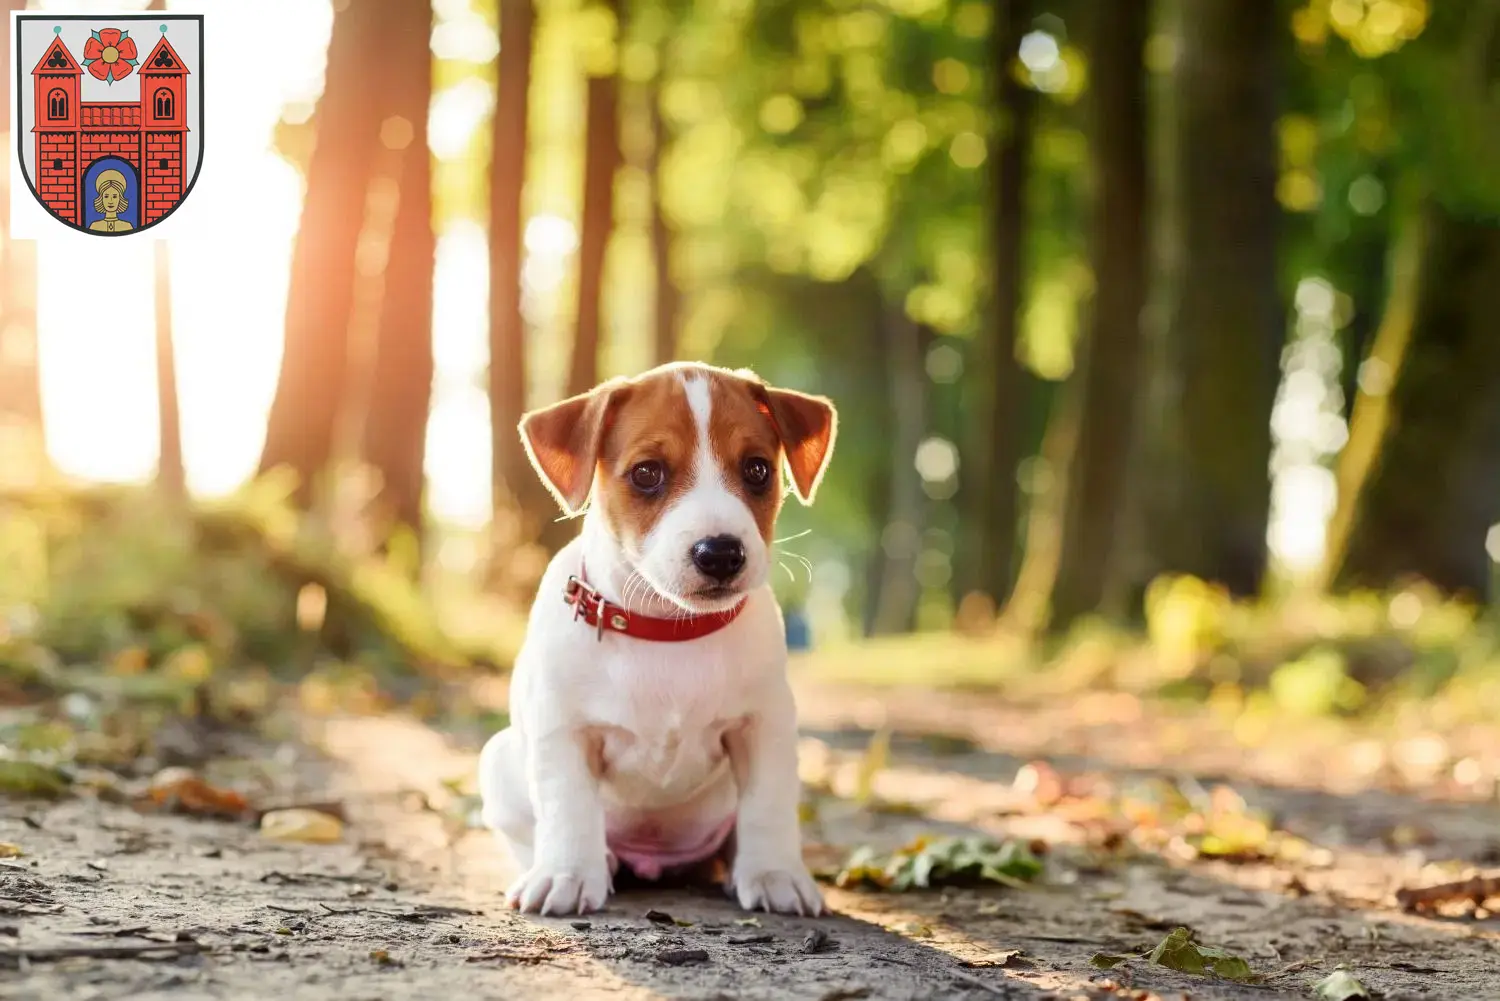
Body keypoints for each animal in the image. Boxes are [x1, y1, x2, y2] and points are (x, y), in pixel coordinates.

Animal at [477, 360, 840, 918]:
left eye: (758, 470)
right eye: (647, 473)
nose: (721, 553)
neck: (668, 628)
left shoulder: (764, 727)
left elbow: (769, 804)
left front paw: (774, 873)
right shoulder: (563, 730)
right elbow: (567, 804)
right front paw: (566, 874)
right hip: (497, 761)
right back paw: (590, 862)